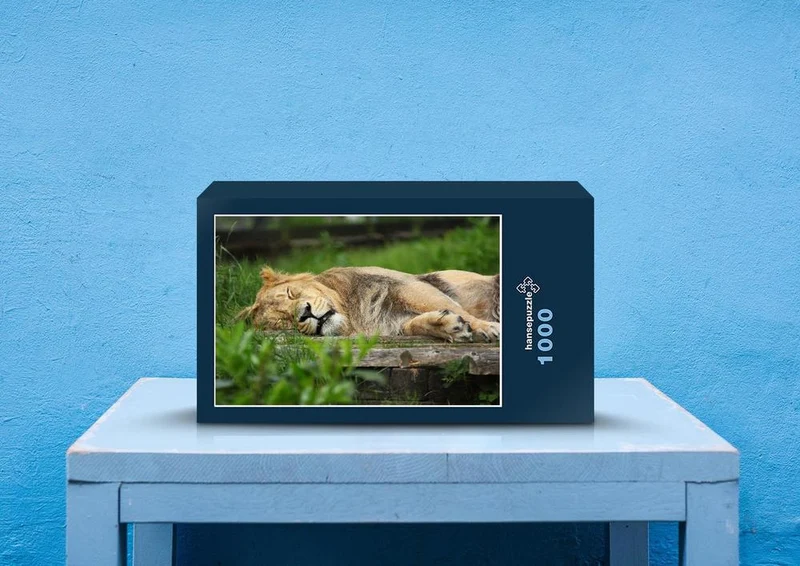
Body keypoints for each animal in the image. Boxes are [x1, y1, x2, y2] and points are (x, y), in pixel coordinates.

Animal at [238, 266, 500, 342]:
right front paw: (449, 327)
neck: (355, 320)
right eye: (283, 322)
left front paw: (486, 328)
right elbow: (414, 325)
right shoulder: (392, 324)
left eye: (291, 294)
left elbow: (454, 307)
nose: (305, 314)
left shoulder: (406, 286)